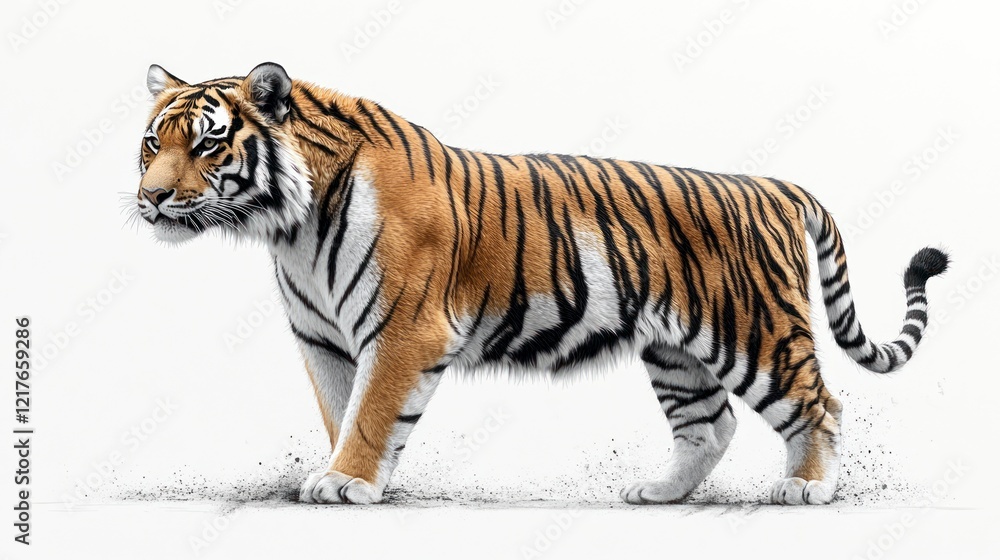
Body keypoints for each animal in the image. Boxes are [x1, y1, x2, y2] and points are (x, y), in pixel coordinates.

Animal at [133, 62, 948, 506]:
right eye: (151, 142)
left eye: (208, 144)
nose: (151, 198)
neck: (290, 226)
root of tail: (775, 185)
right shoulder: (323, 339)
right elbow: (345, 412)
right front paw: (353, 478)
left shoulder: (404, 329)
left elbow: (372, 413)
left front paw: (346, 483)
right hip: (676, 351)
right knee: (709, 425)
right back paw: (659, 494)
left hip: (755, 333)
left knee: (820, 404)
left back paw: (807, 487)